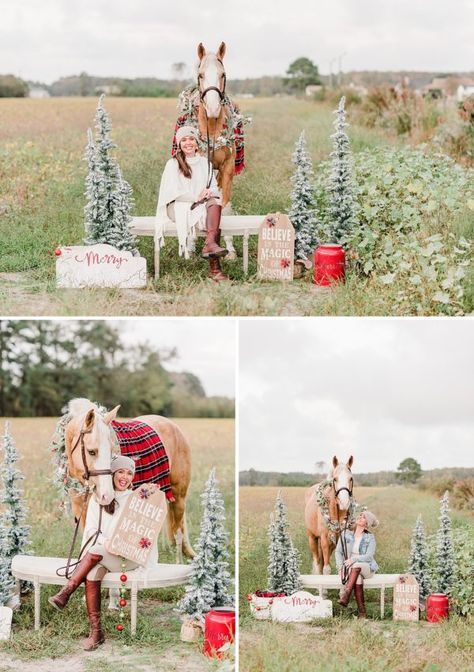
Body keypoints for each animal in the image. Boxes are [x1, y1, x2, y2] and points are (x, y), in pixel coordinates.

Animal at [65, 400, 194, 560]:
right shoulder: (81, 511)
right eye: (91, 452)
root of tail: (171, 425)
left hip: (178, 497)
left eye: (111, 451)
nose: (107, 495)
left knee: (178, 532)